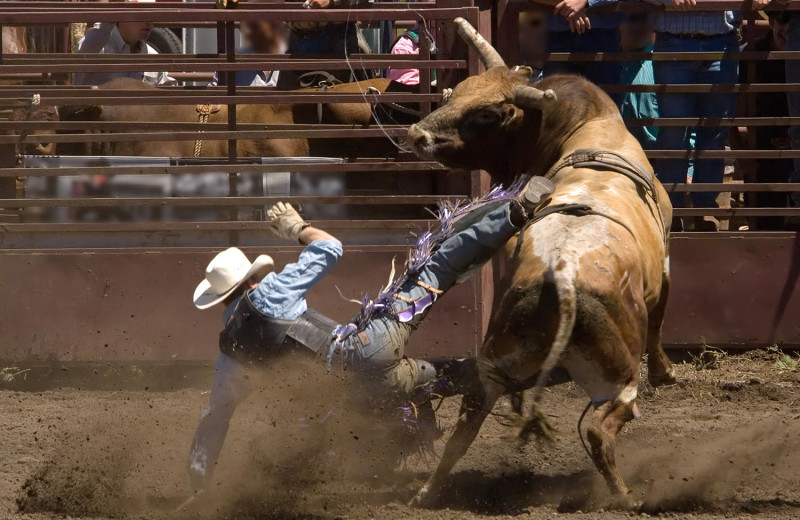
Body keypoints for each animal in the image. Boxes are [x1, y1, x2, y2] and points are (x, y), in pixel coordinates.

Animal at [406, 19, 676, 508]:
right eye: (456, 92)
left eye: (486, 114)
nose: (417, 134)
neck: (588, 129)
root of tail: (562, 278)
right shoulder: (664, 264)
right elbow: (661, 320)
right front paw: (666, 372)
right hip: (617, 379)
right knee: (599, 430)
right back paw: (625, 497)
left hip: (495, 360)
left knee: (466, 424)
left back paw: (428, 491)